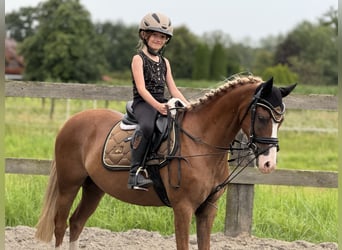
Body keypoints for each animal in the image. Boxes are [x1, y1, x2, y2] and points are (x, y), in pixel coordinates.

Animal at [35, 75, 296, 249]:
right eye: (261, 117)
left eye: (281, 120)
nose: (269, 163)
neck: (202, 143)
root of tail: (73, 120)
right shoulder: (183, 208)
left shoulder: (207, 209)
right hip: (69, 185)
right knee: (60, 225)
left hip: (94, 188)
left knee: (76, 223)